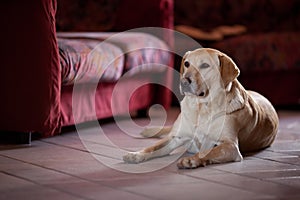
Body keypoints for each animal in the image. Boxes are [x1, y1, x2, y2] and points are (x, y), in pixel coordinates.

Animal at [123, 48, 278, 169]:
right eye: (187, 64)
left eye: (205, 65)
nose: (184, 82)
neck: (200, 108)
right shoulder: (175, 137)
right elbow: (152, 147)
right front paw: (136, 155)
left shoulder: (230, 146)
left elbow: (208, 151)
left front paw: (191, 160)